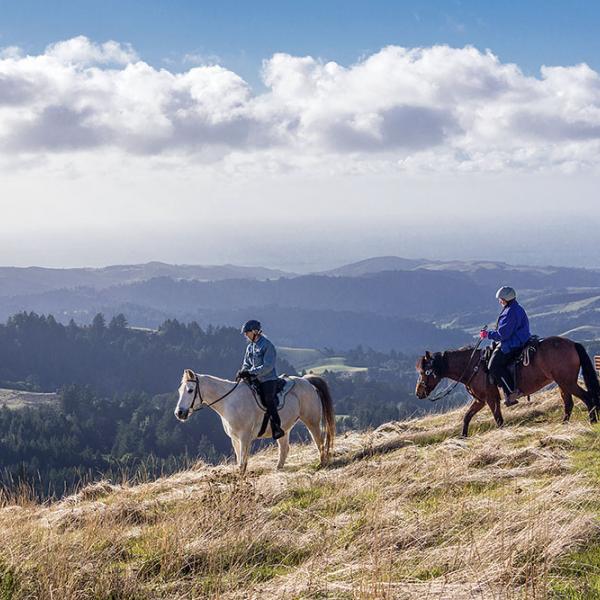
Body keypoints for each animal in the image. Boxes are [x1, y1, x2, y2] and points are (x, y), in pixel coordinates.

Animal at [173, 368, 336, 476]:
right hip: (284, 429)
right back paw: (278, 469)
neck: (229, 402)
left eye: (190, 390)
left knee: (319, 442)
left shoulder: (244, 437)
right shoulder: (234, 439)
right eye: (180, 390)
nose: (179, 413)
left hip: (312, 421)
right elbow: (239, 460)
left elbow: (243, 462)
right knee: (284, 449)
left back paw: (321, 463)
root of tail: (307, 381)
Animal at [414, 338, 600, 436]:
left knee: (587, 397)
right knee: (568, 403)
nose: (418, 393)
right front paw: (463, 436)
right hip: (562, 383)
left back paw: (592, 421)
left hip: (567, 382)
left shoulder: (490, 398)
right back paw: (564, 425)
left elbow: (498, 418)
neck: (474, 366)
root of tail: (572, 344)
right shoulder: (480, 400)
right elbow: (467, 416)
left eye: (424, 372)